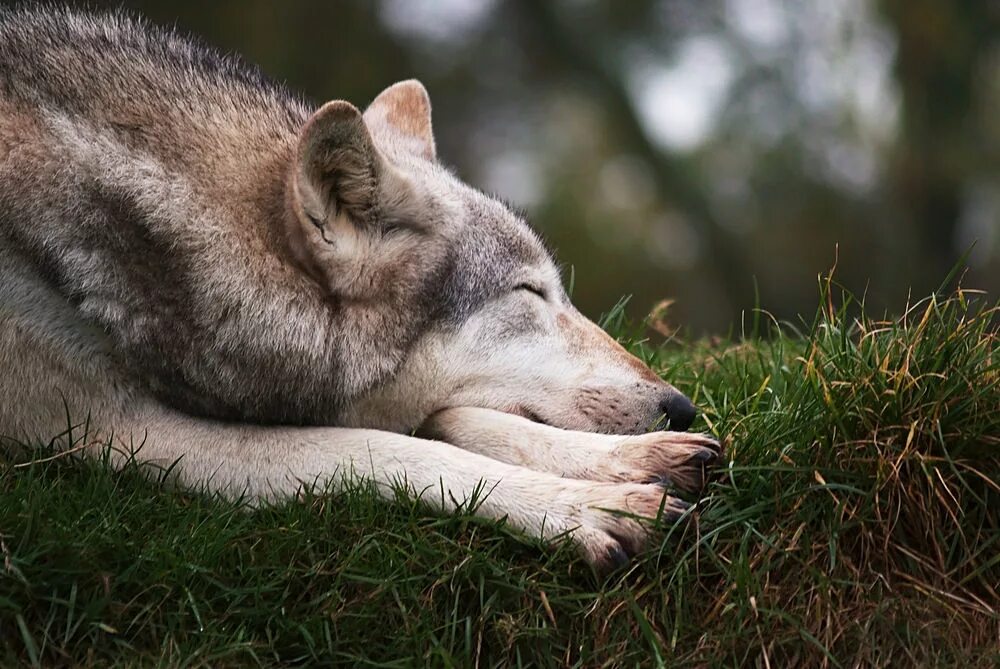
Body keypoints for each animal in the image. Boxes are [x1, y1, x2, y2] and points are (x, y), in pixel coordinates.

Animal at [0, 6, 720, 568]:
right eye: (528, 293)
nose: (681, 405)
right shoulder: (111, 428)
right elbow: (385, 448)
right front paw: (588, 506)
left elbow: (451, 420)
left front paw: (629, 459)